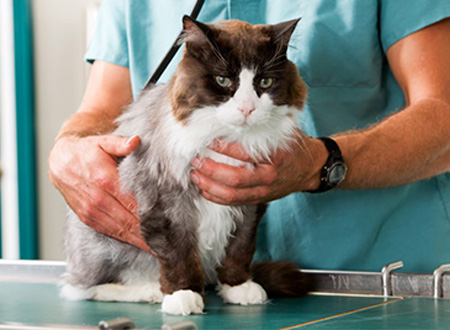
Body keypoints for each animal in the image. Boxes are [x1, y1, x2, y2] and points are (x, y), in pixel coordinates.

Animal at [60, 14, 310, 314]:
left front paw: (238, 286)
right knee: (82, 288)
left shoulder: (249, 202)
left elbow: (239, 249)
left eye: (264, 82)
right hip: (105, 247)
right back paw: (149, 291)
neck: (227, 138)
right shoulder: (167, 202)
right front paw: (183, 295)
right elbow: (178, 254)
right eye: (223, 80)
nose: (247, 109)